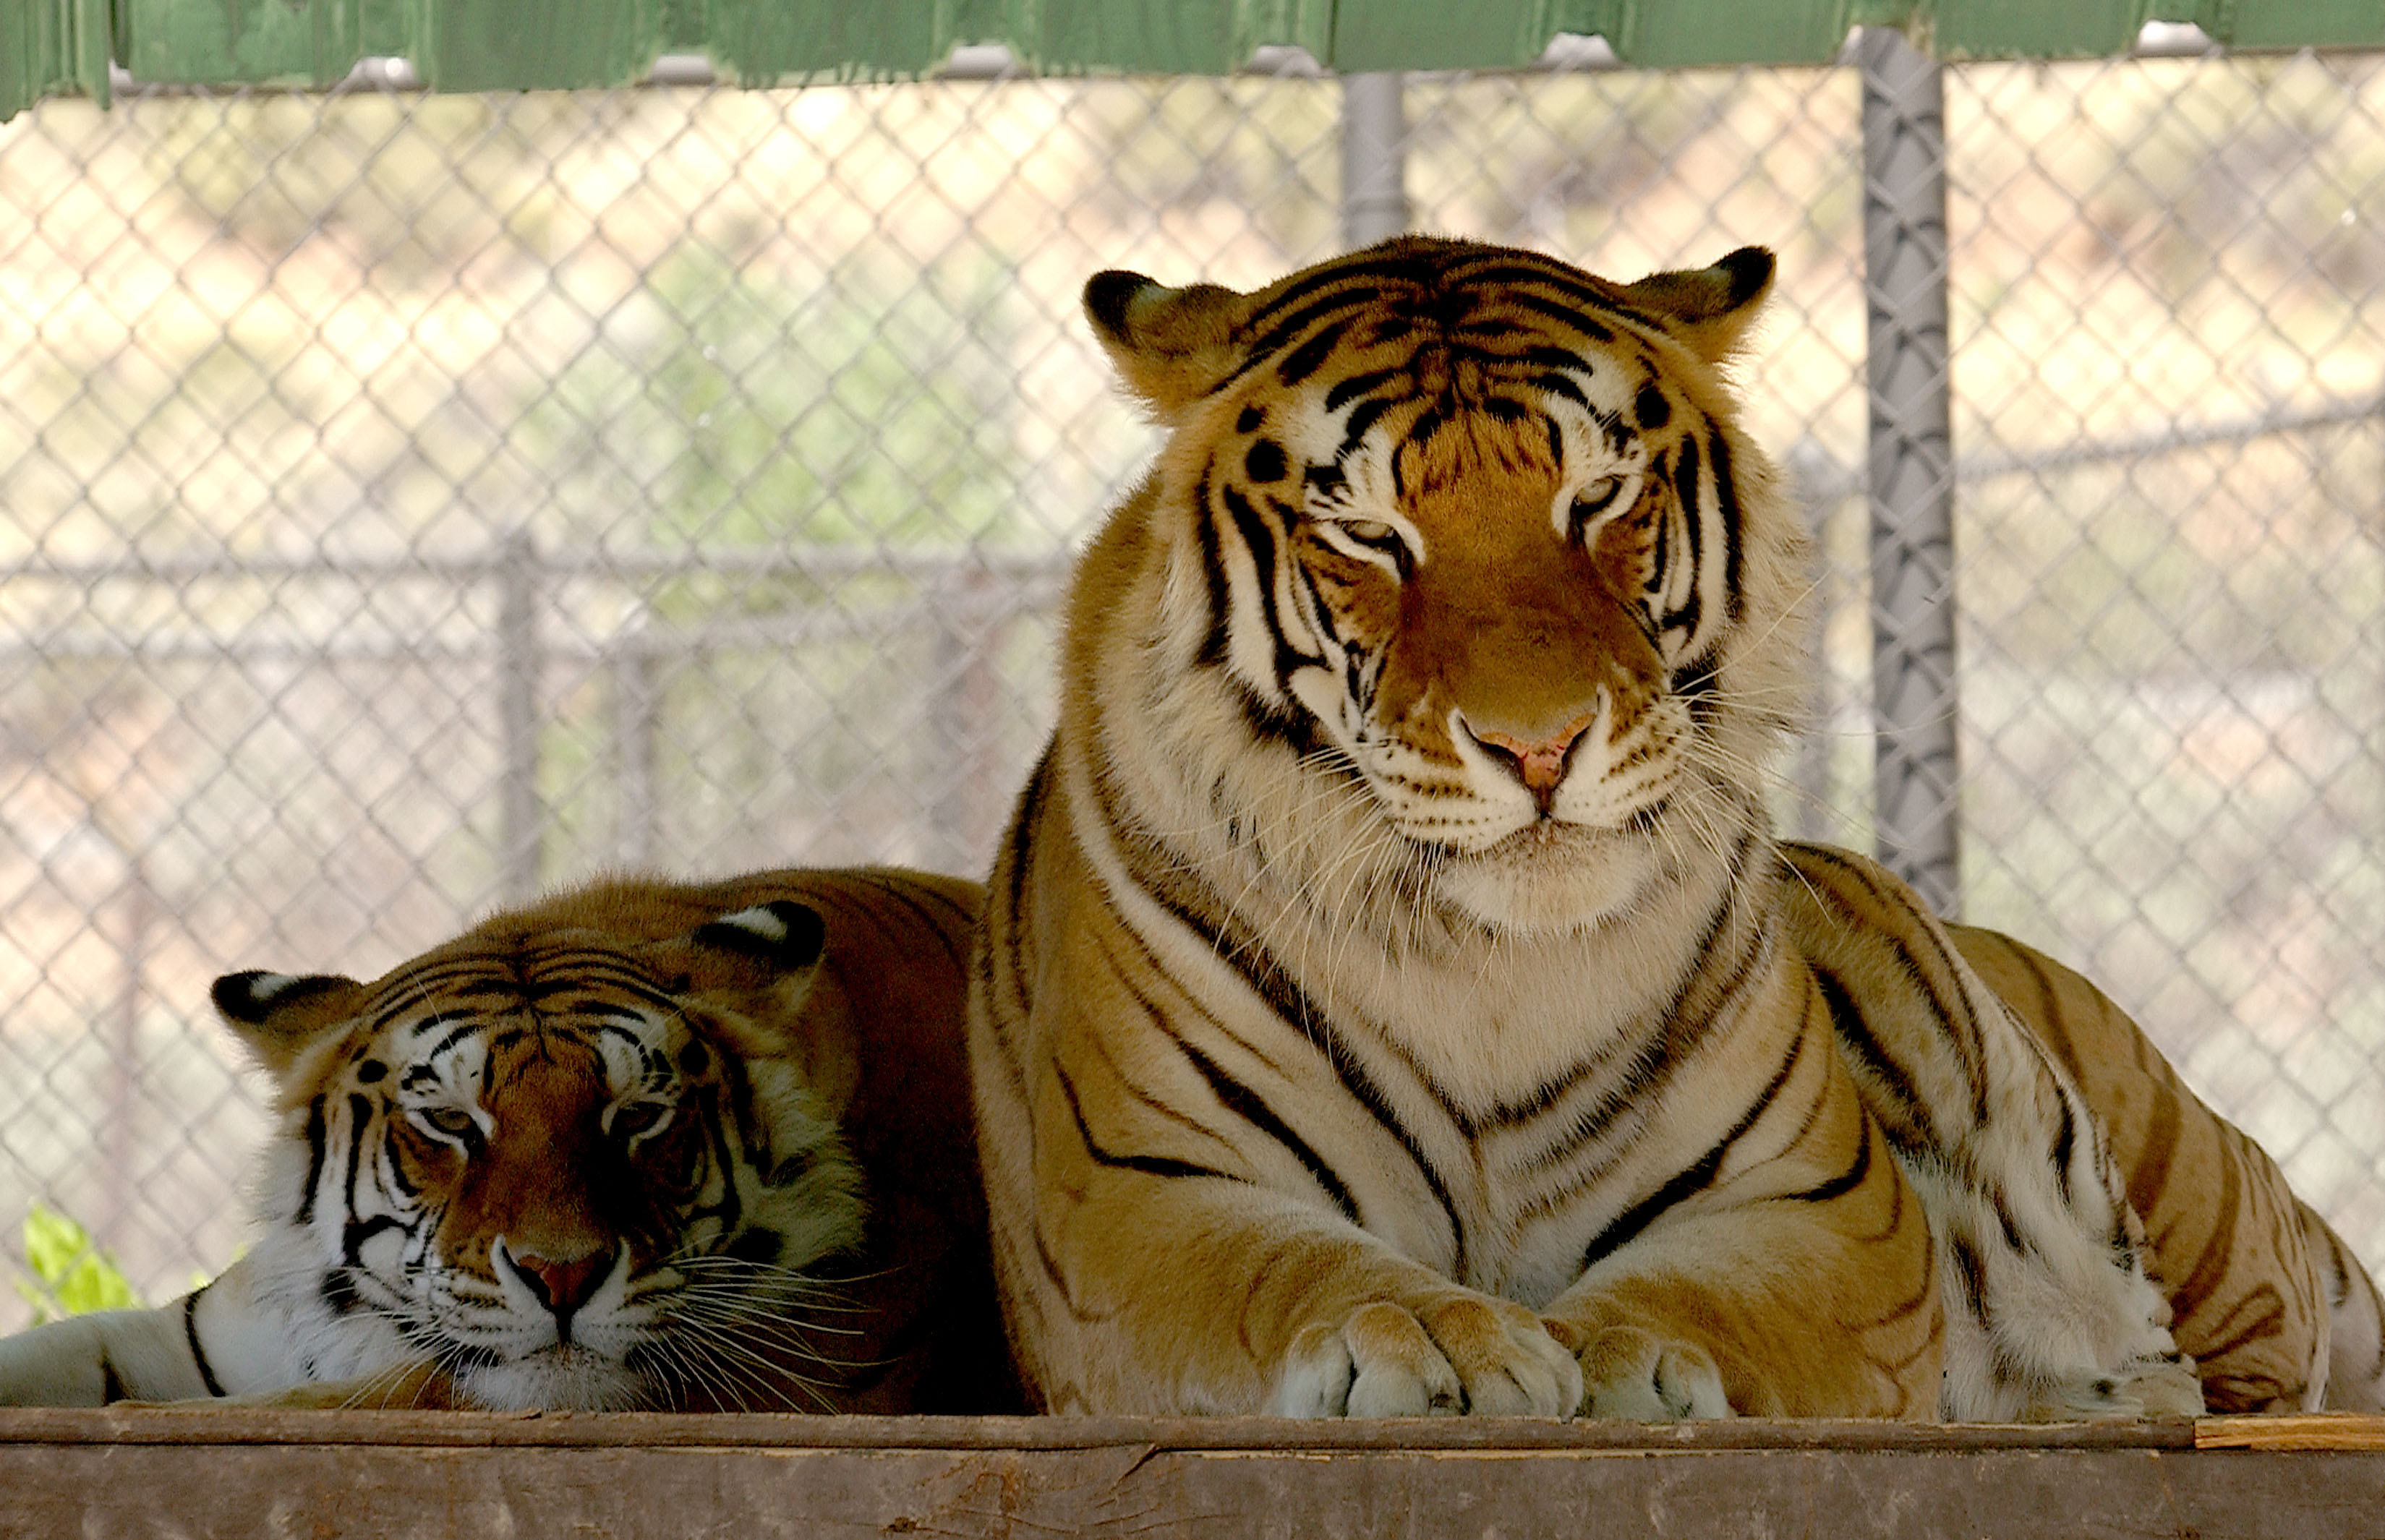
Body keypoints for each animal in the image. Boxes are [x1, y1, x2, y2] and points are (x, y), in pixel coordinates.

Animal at [967, 233, 2381, 1421]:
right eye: (1369, 533)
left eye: (1597, 496)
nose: (1537, 745)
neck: (1486, 969)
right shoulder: (1140, 1192)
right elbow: (1299, 1269)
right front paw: (1433, 1339)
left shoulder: (1818, 1202)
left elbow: (1707, 1294)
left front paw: (1617, 1356)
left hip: (2201, 1195)